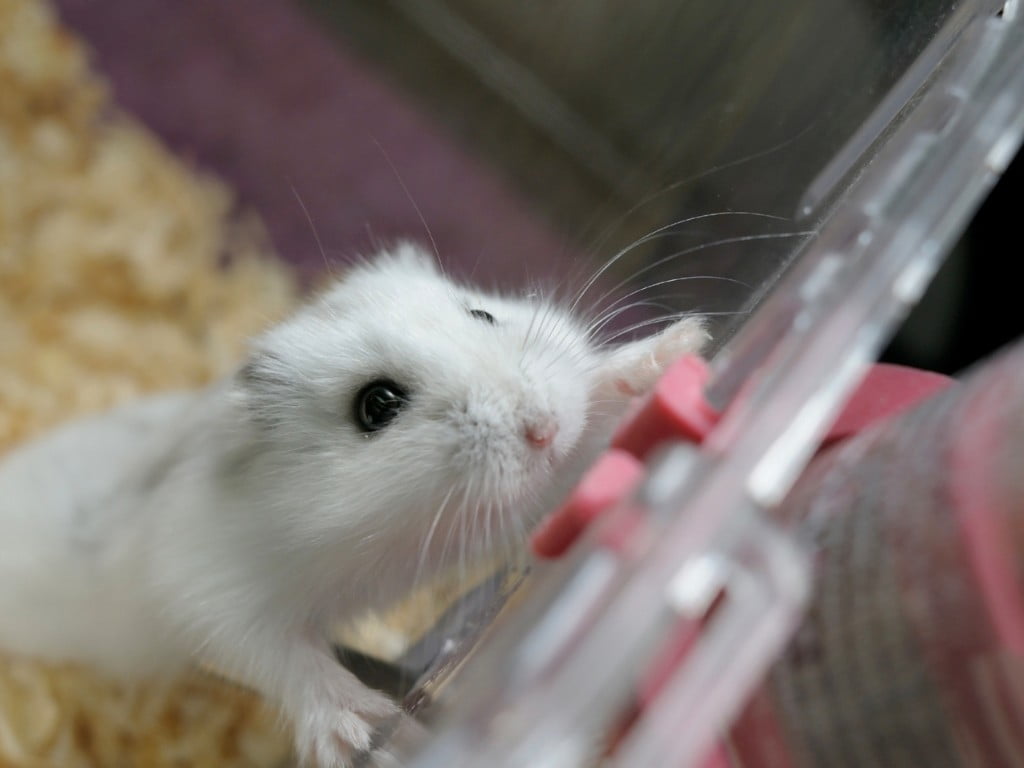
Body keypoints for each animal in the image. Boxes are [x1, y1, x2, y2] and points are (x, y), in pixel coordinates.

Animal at [0, 244, 704, 768]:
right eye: (377, 404)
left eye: (482, 315)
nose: (543, 430)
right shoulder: (205, 592)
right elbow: (285, 657)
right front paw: (364, 731)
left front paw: (682, 346)